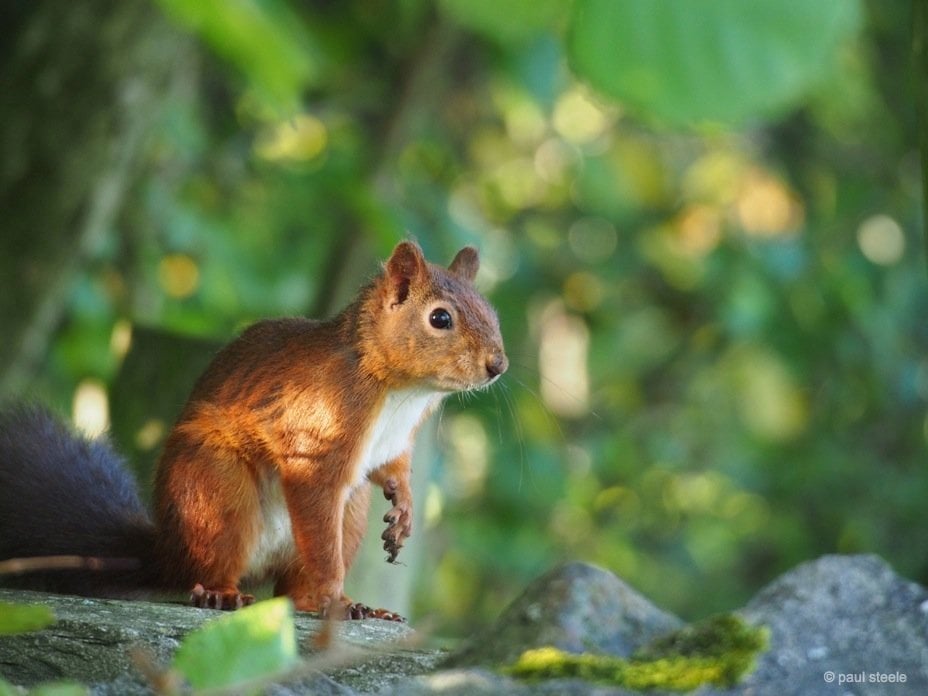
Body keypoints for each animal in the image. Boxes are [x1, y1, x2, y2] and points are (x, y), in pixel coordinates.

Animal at [0, 243, 508, 620]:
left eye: (491, 312)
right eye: (440, 318)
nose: (498, 365)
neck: (402, 392)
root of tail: (167, 550)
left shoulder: (393, 444)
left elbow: (393, 469)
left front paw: (403, 509)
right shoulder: (317, 439)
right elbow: (318, 517)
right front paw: (335, 595)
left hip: (350, 510)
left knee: (290, 590)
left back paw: (336, 603)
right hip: (215, 491)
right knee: (213, 567)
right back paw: (224, 594)